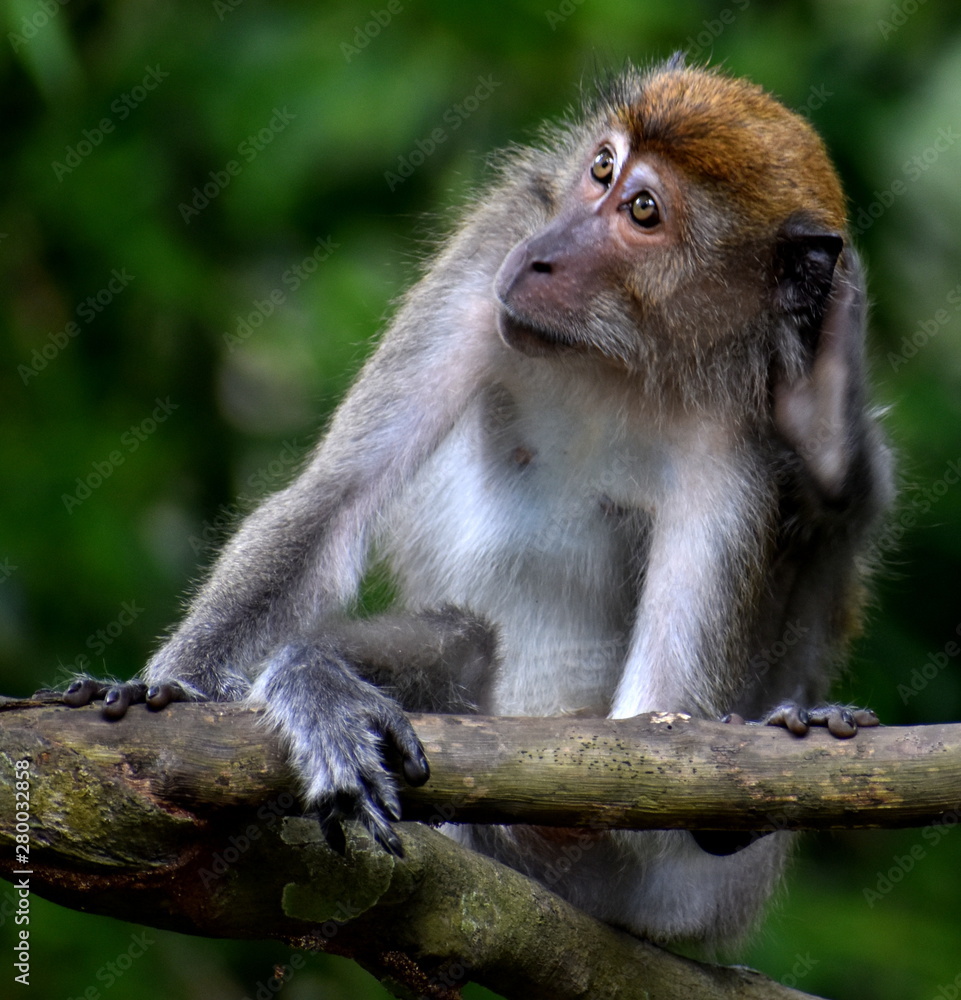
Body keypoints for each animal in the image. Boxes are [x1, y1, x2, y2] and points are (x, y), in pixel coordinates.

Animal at [63, 56, 892, 948]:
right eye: (600, 169)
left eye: (643, 211)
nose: (543, 259)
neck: (620, 355)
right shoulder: (488, 250)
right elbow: (334, 499)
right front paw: (177, 688)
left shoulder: (737, 426)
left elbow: (661, 720)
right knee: (457, 636)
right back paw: (317, 687)